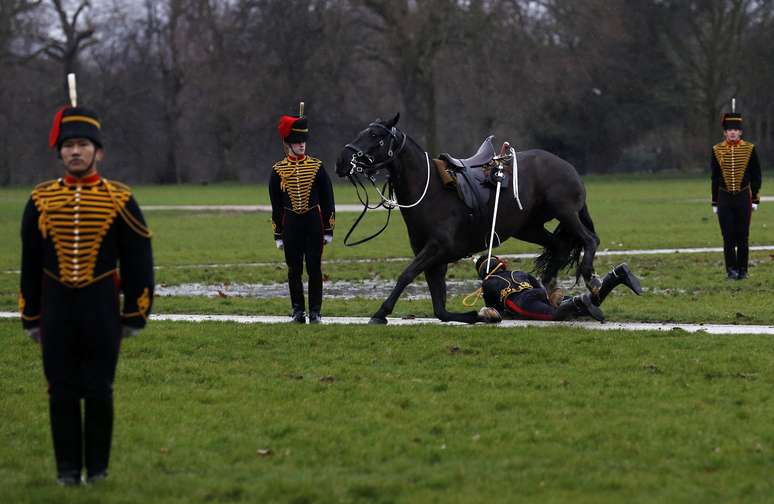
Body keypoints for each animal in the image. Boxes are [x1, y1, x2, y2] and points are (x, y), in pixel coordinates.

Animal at [334, 114, 600, 324]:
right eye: (362, 132)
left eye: (376, 136)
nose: (342, 160)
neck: (429, 191)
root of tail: (565, 165)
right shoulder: (433, 258)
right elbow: (440, 309)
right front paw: (476, 315)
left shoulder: (436, 248)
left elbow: (406, 275)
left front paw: (381, 312)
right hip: (529, 228)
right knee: (561, 247)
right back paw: (551, 289)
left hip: (565, 211)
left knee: (590, 240)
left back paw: (590, 280)